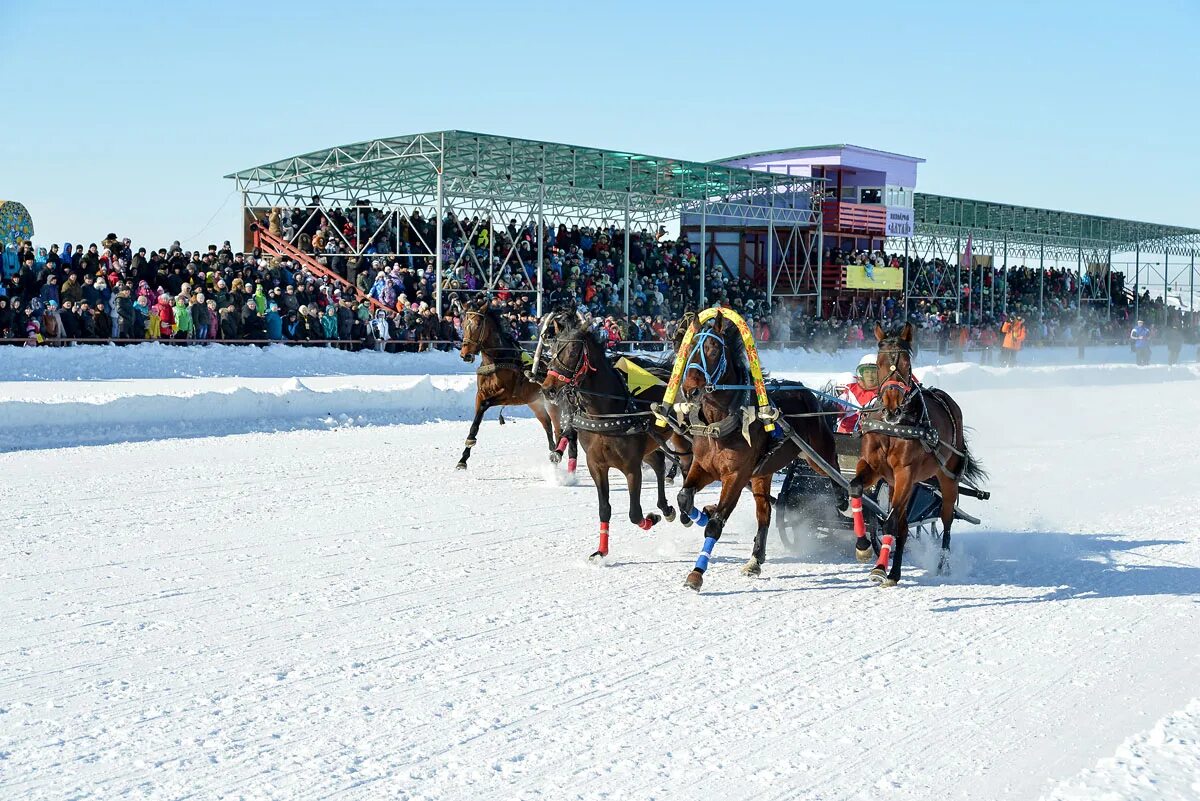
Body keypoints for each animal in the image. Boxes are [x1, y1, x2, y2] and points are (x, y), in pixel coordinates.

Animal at [453, 299, 561, 470]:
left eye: (478, 324)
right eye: (463, 324)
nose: (465, 355)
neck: (496, 359)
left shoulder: (507, 395)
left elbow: (484, 405)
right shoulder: (480, 393)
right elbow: (476, 420)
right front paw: (463, 457)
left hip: (553, 403)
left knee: (558, 428)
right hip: (535, 403)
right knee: (547, 425)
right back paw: (553, 451)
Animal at [542, 316, 691, 556]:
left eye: (573, 351)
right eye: (553, 347)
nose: (548, 389)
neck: (606, 413)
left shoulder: (631, 466)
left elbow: (635, 514)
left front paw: (651, 518)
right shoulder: (596, 464)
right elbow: (604, 508)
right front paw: (601, 552)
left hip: (680, 437)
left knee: (687, 464)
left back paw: (685, 511)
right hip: (650, 442)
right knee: (659, 463)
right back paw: (666, 507)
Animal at [672, 309, 840, 592]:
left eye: (713, 348)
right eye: (690, 346)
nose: (690, 390)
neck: (721, 423)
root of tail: (806, 391)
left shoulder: (736, 476)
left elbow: (715, 525)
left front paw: (697, 573)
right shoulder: (703, 466)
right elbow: (684, 497)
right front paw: (699, 513)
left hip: (815, 454)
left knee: (835, 470)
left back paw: (847, 502)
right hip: (763, 473)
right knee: (765, 513)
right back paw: (755, 559)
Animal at [844, 321, 984, 585]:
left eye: (906, 364)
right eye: (879, 362)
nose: (892, 408)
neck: (894, 427)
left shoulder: (905, 474)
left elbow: (889, 523)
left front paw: (879, 568)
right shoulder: (873, 467)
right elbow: (856, 488)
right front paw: (863, 546)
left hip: (946, 477)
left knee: (945, 518)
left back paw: (941, 564)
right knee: (903, 524)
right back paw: (895, 571)